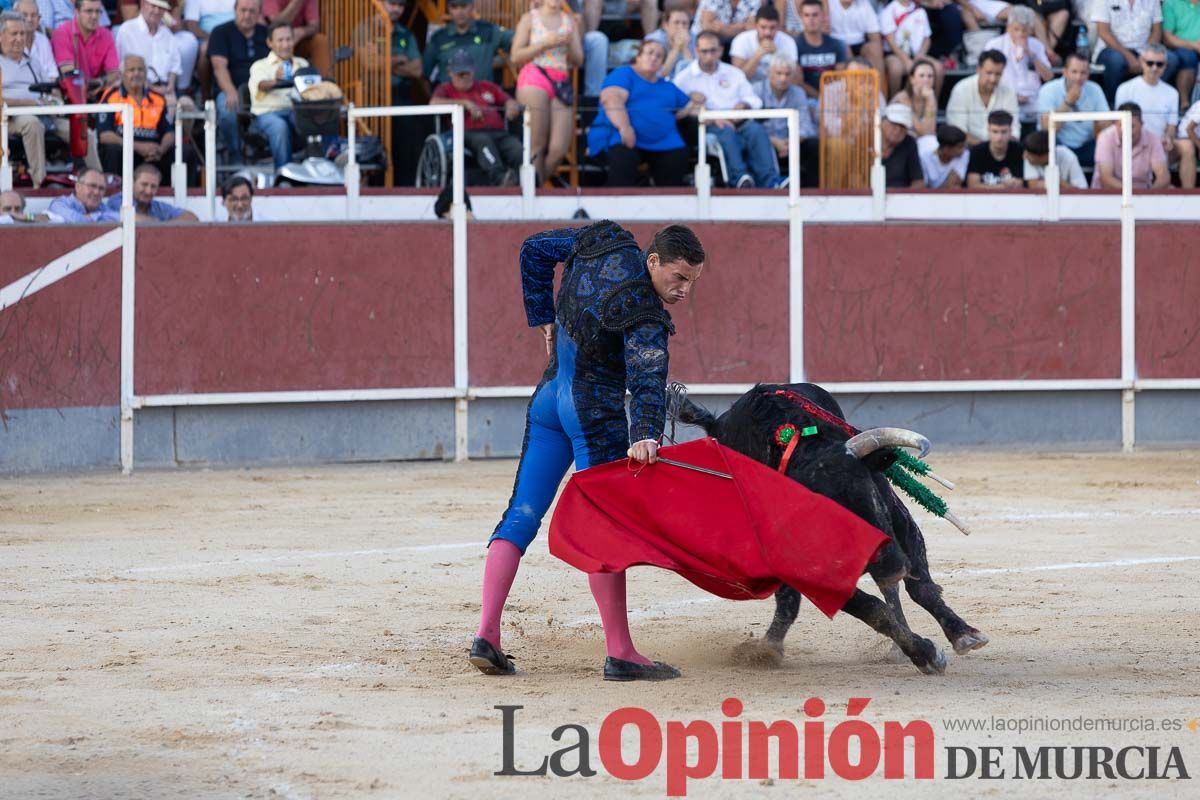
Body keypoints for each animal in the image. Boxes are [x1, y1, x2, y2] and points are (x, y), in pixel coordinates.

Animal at [676, 383, 993, 676]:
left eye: (867, 493)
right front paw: (925, 654)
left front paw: (963, 634)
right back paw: (768, 649)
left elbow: (921, 587)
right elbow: (874, 611)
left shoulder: (901, 525)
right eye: (825, 517)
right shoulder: (816, 572)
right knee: (792, 601)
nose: (892, 567)